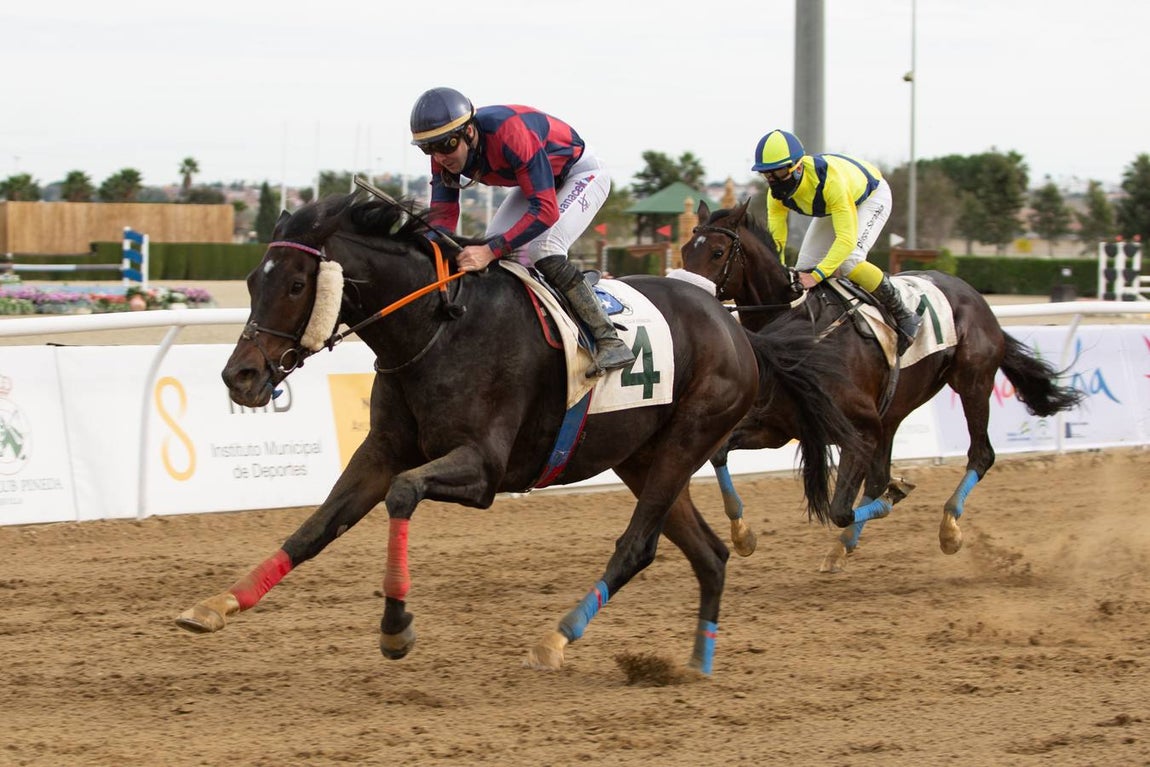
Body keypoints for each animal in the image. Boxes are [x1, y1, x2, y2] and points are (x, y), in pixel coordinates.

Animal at [174, 193, 856, 676]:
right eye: (254, 281)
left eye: (295, 284)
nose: (240, 376)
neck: (437, 326)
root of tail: (738, 328)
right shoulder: (382, 449)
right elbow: (318, 526)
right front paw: (217, 604)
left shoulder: (484, 468)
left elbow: (402, 494)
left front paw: (396, 628)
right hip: (642, 456)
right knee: (710, 555)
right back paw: (696, 662)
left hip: (688, 437)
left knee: (637, 547)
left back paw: (556, 638)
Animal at [679, 199, 1084, 572]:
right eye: (685, 250)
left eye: (717, 252)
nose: (686, 298)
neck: (796, 333)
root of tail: (975, 298)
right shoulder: (777, 428)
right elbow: (719, 453)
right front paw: (743, 534)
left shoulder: (856, 431)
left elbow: (841, 508)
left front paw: (898, 494)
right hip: (892, 413)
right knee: (878, 478)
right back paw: (844, 545)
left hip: (972, 382)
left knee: (981, 455)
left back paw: (949, 528)